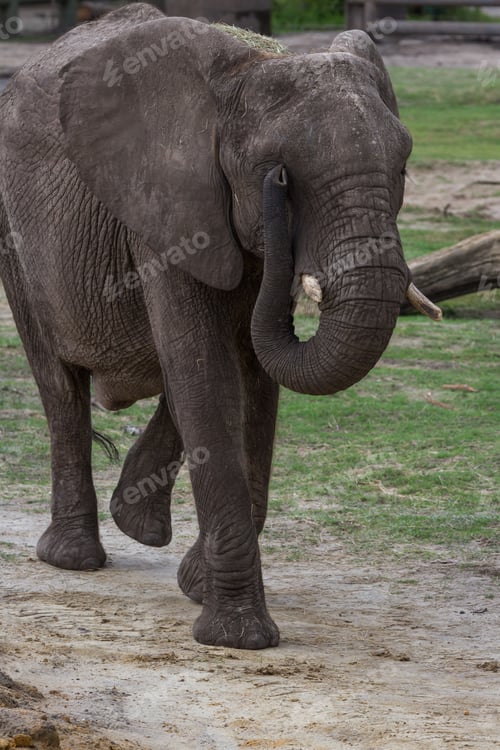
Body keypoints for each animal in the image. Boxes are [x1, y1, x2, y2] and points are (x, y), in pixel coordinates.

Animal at [0, 4, 440, 649]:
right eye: (273, 172)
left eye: (403, 165)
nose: (277, 197)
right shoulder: (166, 206)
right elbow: (208, 374)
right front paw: (238, 637)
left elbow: (251, 377)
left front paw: (197, 588)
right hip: (13, 236)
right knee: (61, 387)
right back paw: (73, 557)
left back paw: (140, 526)